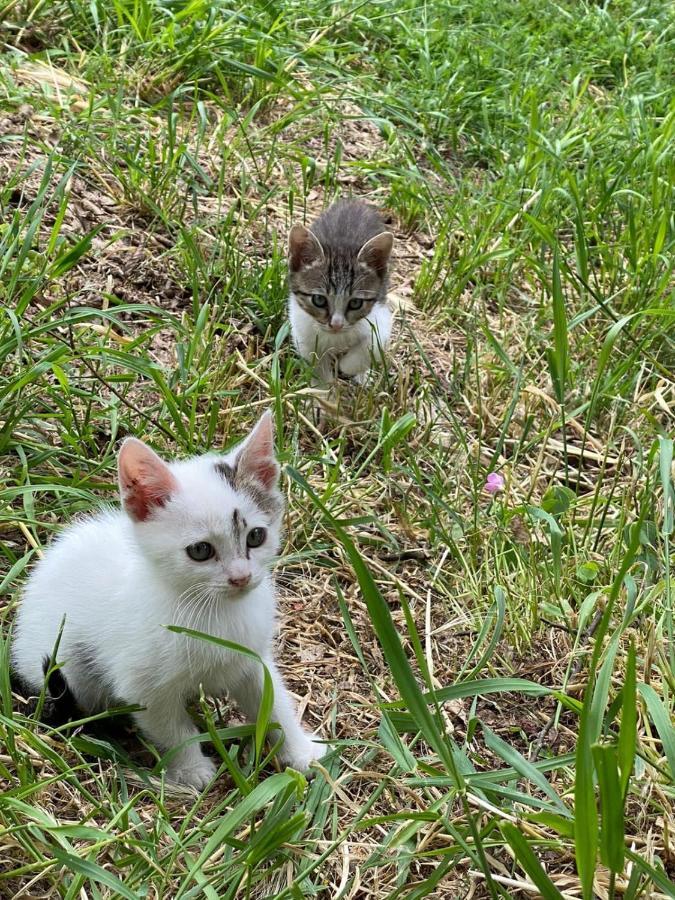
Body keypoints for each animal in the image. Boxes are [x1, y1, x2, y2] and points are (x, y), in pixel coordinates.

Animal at [11, 414, 324, 788]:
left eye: (256, 536)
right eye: (200, 550)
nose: (241, 577)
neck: (213, 610)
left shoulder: (252, 657)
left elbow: (273, 702)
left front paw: (301, 751)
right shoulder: (143, 685)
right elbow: (173, 730)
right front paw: (193, 772)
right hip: (69, 667)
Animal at [286, 200, 394, 384]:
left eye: (356, 303)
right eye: (319, 300)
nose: (336, 325)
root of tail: (354, 202)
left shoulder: (381, 318)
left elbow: (372, 346)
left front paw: (347, 365)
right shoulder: (300, 325)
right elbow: (314, 358)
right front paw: (323, 385)